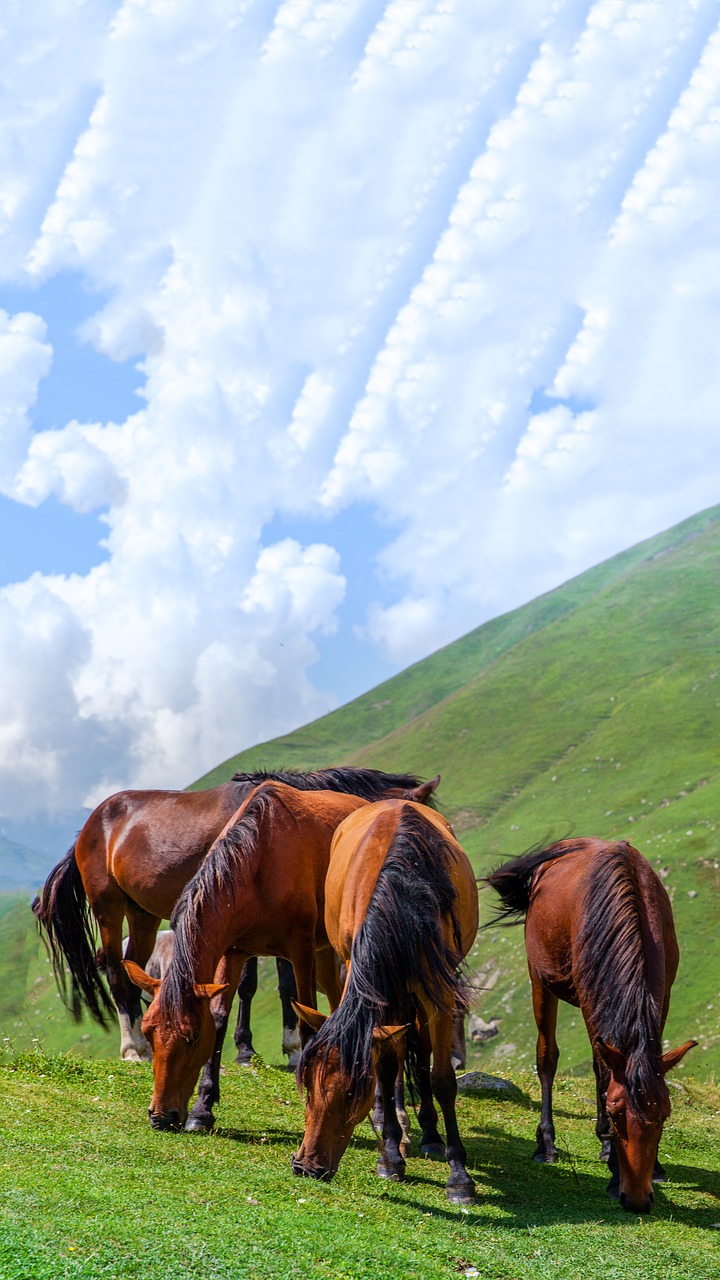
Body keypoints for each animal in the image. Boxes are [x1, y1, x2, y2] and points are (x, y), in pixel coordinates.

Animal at [32, 762, 438, 1064]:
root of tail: (90, 826)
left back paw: (145, 1046)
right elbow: (248, 984)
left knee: (133, 969)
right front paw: (249, 1050)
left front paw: (289, 1046)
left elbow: (286, 984)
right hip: (109, 908)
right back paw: (132, 1049)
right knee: (115, 970)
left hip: (142, 915)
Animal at [122, 778, 412, 1131]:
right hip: (326, 954)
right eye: (148, 1032)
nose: (162, 1117)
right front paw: (203, 1109)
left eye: (190, 1037)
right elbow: (220, 1019)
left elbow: (306, 1025)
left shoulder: (300, 951)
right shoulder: (233, 952)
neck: (259, 859)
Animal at [288, 793, 479, 1203]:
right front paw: (390, 1157)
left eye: (349, 1094)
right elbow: (387, 1066)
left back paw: (431, 1135)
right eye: (306, 1086)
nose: (306, 1167)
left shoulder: (438, 990)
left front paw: (459, 1176)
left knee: (421, 1052)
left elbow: (442, 1078)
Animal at [481, 834, 696, 1213]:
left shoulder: (663, 995)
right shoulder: (589, 998)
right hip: (540, 981)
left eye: (664, 1117)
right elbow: (599, 1071)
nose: (637, 1200)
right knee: (547, 1058)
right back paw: (547, 1144)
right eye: (616, 1113)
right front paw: (613, 1164)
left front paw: (652, 1166)